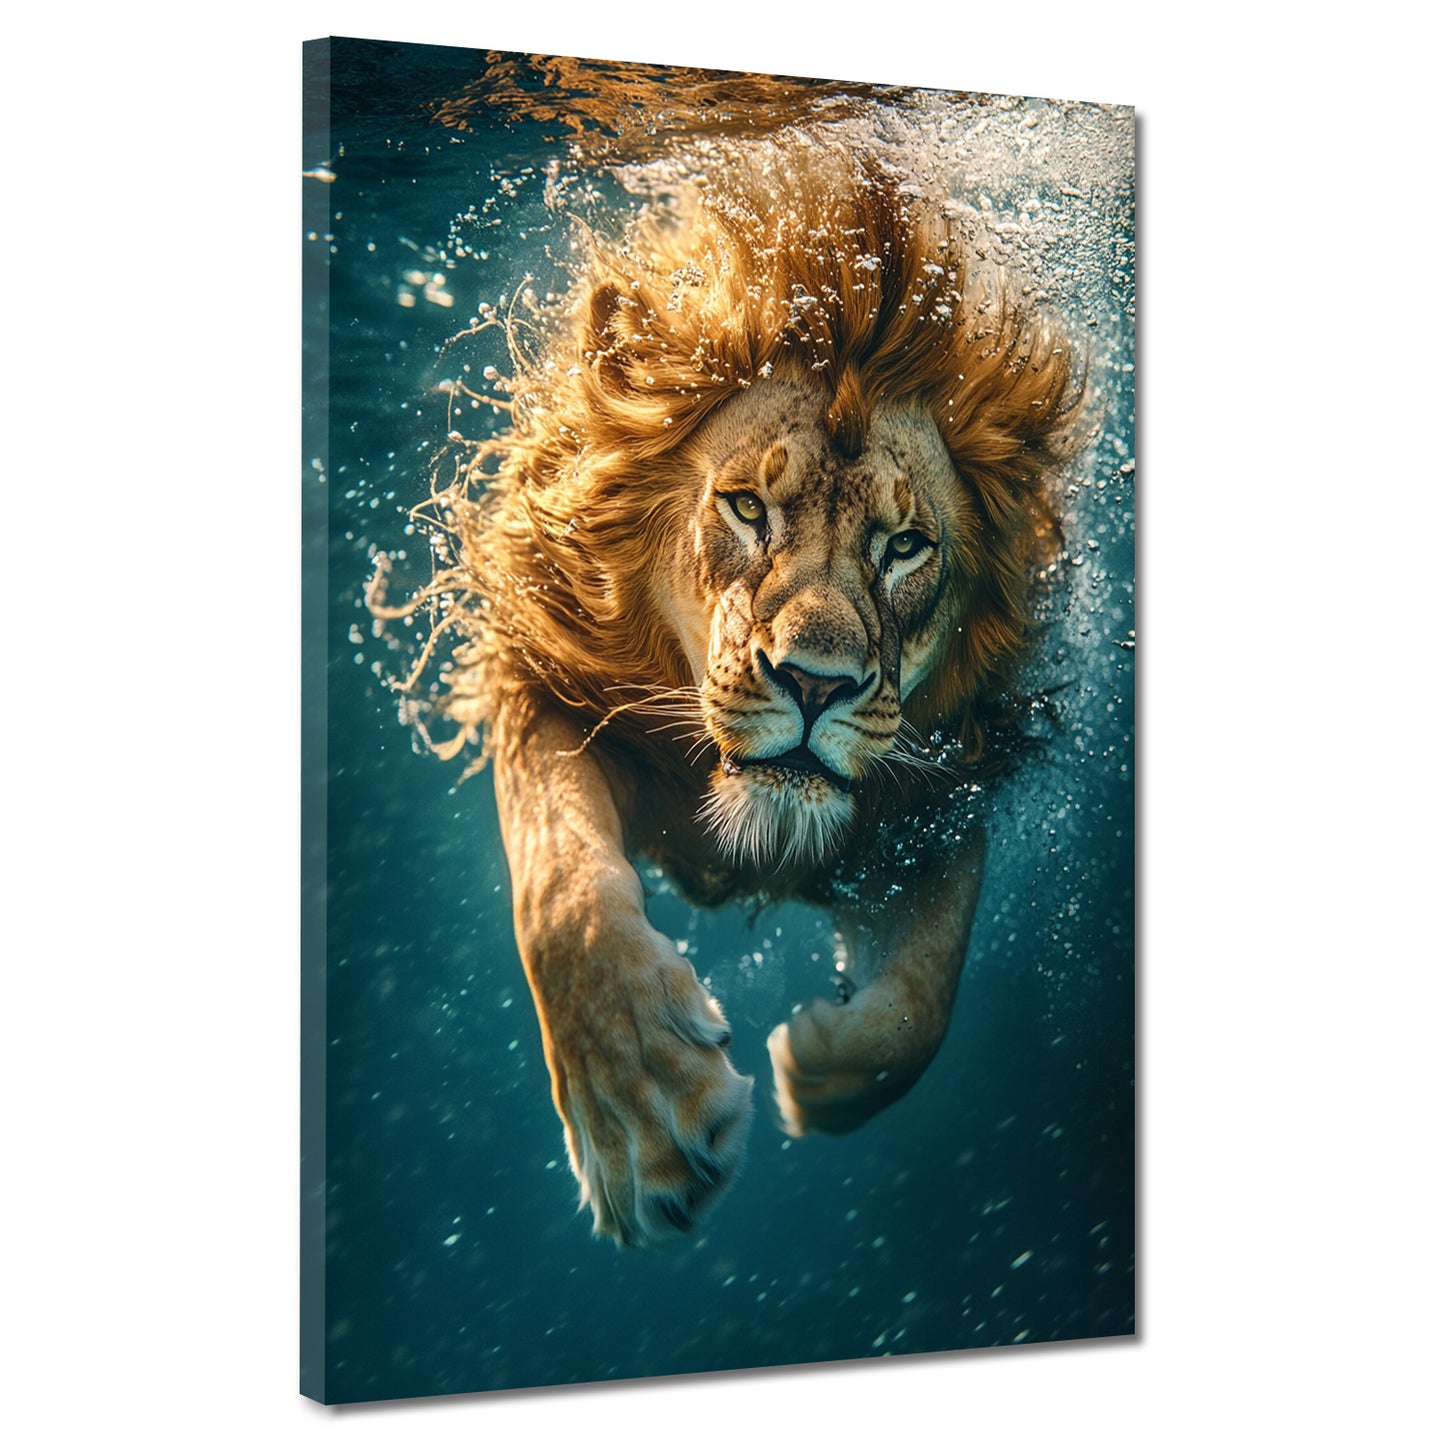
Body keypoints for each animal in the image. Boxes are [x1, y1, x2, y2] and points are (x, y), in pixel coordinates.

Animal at [380, 147, 1077, 1247]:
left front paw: (816, 1062)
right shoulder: (550, 680)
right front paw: (646, 1116)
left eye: (903, 544)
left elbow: (925, 992)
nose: (815, 682)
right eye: (747, 508)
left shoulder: (939, 790)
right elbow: (563, 896)